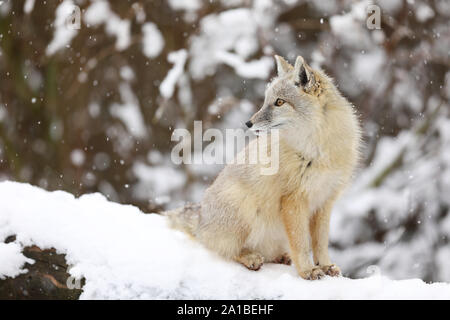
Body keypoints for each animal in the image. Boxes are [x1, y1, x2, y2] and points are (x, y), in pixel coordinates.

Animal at [166, 55, 362, 280]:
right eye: (267, 101)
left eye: (279, 102)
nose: (248, 123)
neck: (320, 152)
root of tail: (200, 220)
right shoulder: (294, 201)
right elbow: (301, 244)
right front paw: (307, 270)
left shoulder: (325, 201)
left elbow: (320, 243)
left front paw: (326, 266)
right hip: (244, 209)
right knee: (225, 250)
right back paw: (250, 257)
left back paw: (280, 257)